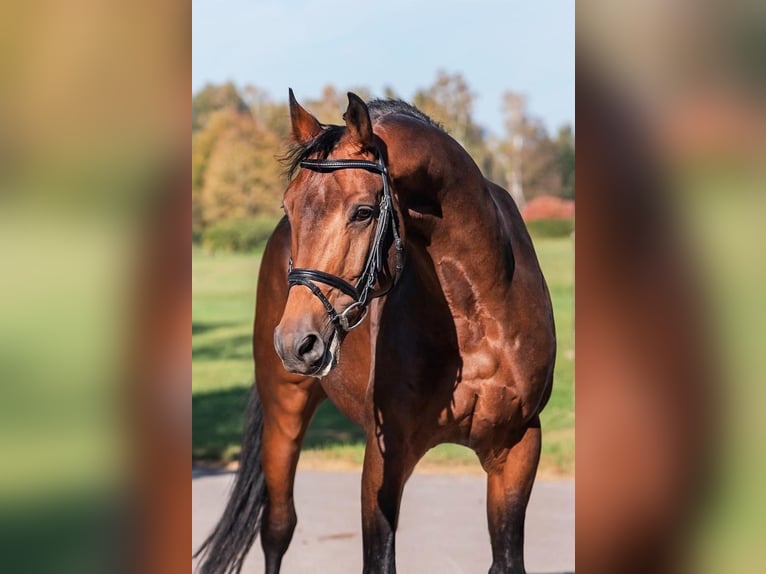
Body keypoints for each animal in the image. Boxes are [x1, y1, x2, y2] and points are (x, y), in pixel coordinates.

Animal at [195, 91, 560, 574]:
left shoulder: (518, 448)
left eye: (363, 211)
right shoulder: (385, 456)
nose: (295, 343)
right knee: (277, 527)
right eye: (289, 207)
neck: (480, 313)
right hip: (284, 411)